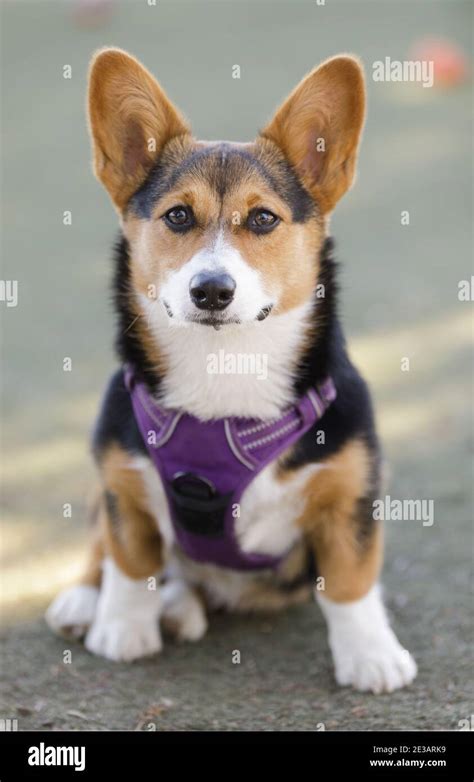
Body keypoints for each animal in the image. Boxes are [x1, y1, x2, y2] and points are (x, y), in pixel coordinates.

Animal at [46, 49, 416, 696]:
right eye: (177, 216)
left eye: (263, 219)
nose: (212, 290)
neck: (224, 364)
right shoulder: (120, 473)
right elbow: (129, 557)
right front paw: (122, 629)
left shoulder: (351, 489)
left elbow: (350, 579)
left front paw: (371, 657)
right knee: (104, 543)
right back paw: (90, 602)